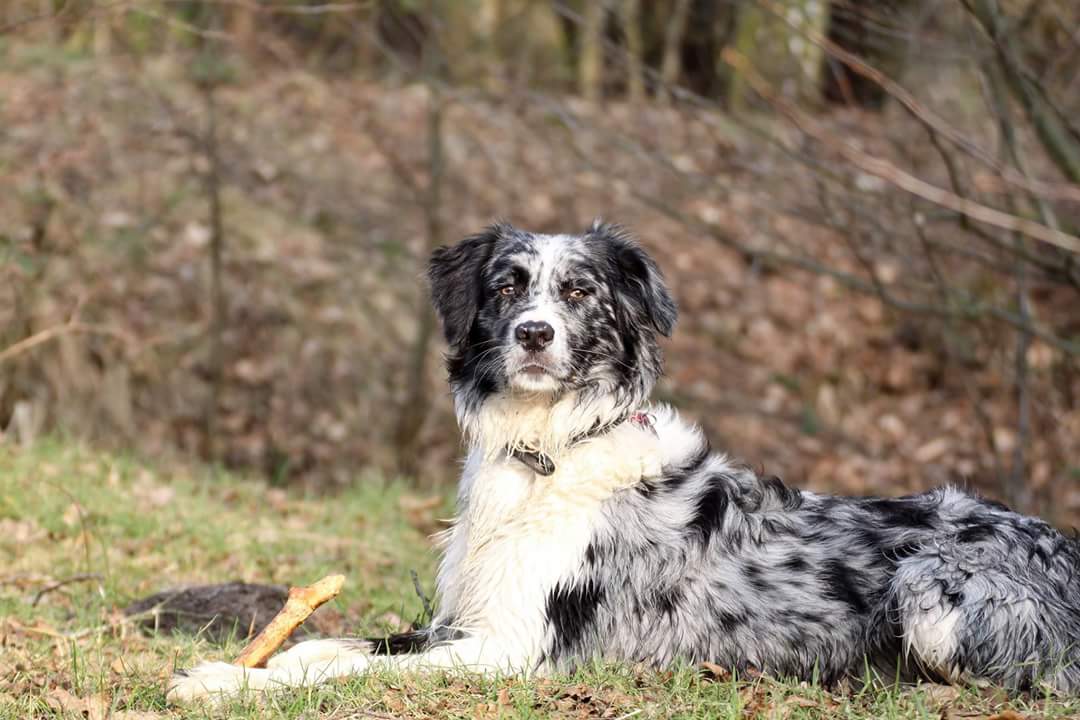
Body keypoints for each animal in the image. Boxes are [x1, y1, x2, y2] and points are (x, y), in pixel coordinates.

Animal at [166, 222, 1080, 699]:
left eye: (581, 292)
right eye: (507, 286)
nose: (535, 334)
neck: (548, 448)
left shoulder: (513, 648)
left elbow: (334, 677)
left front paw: (223, 684)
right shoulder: (463, 620)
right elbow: (329, 650)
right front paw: (251, 662)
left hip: (929, 590)